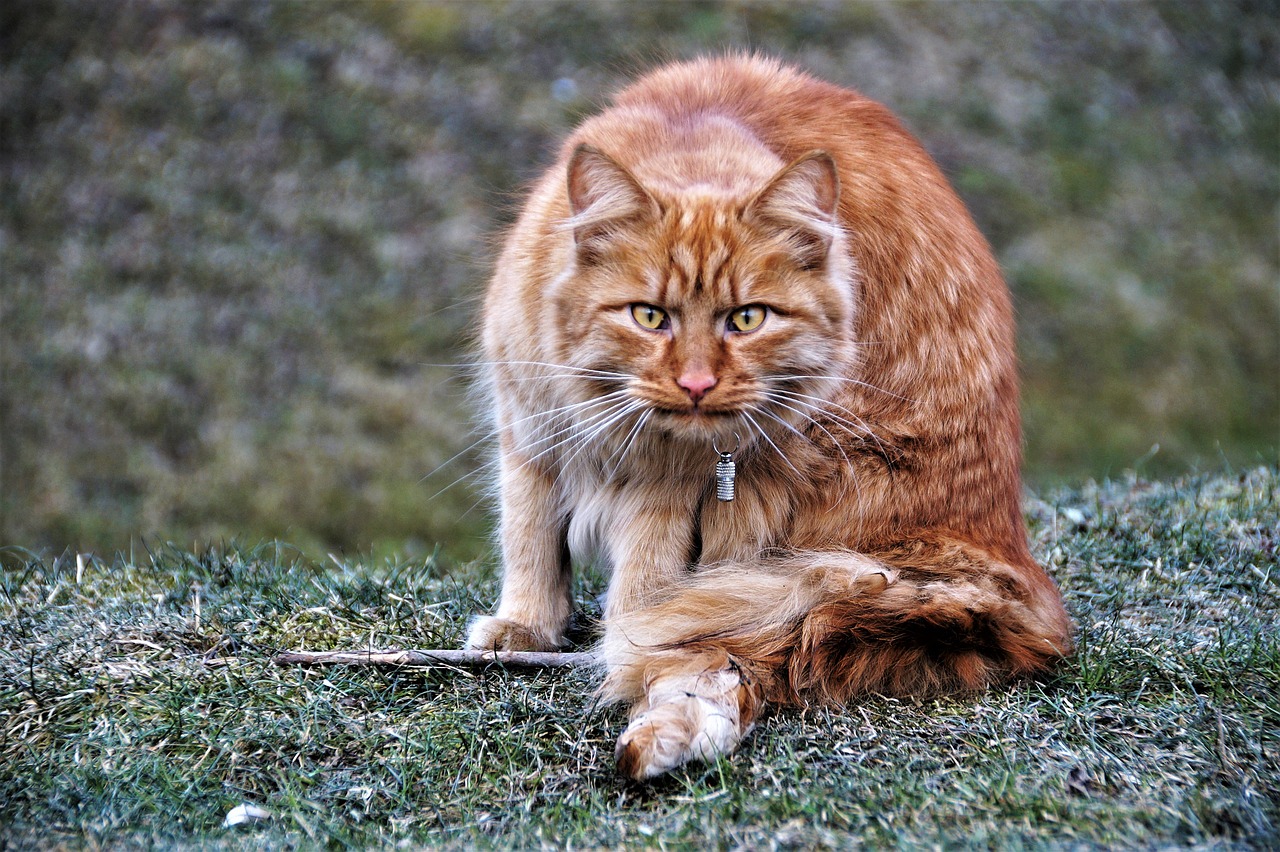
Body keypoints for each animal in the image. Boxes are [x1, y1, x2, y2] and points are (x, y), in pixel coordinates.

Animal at [468, 54, 1070, 777]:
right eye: (650, 316)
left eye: (748, 319)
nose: (697, 383)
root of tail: (1010, 565)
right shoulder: (529, 430)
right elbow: (530, 539)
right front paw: (525, 627)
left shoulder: (666, 495)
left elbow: (646, 595)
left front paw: (624, 643)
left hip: (796, 478)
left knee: (741, 650)